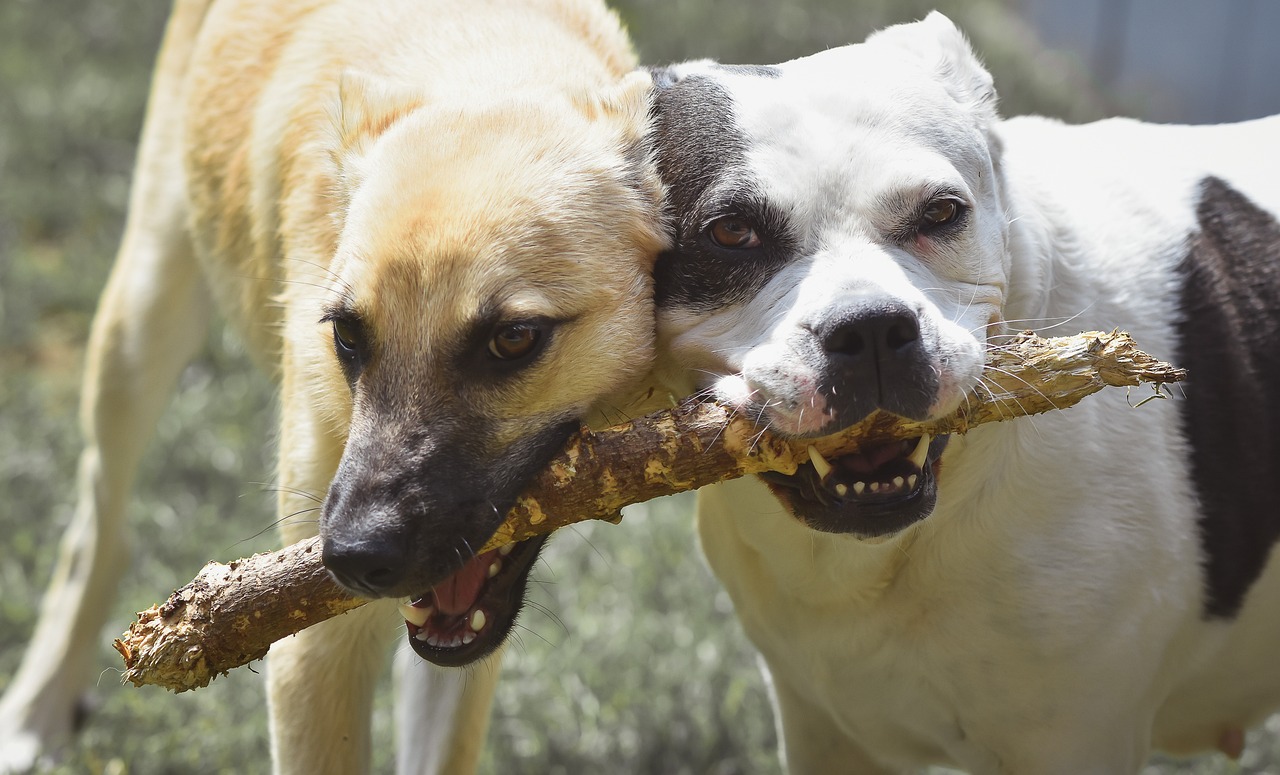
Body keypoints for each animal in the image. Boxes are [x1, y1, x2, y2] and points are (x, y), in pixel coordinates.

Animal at [0, 3, 660, 768]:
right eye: (346, 333)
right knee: (96, 523)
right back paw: (37, 710)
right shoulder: (314, 648)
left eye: (513, 339)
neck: (485, 70)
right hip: (139, 318)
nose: (353, 557)